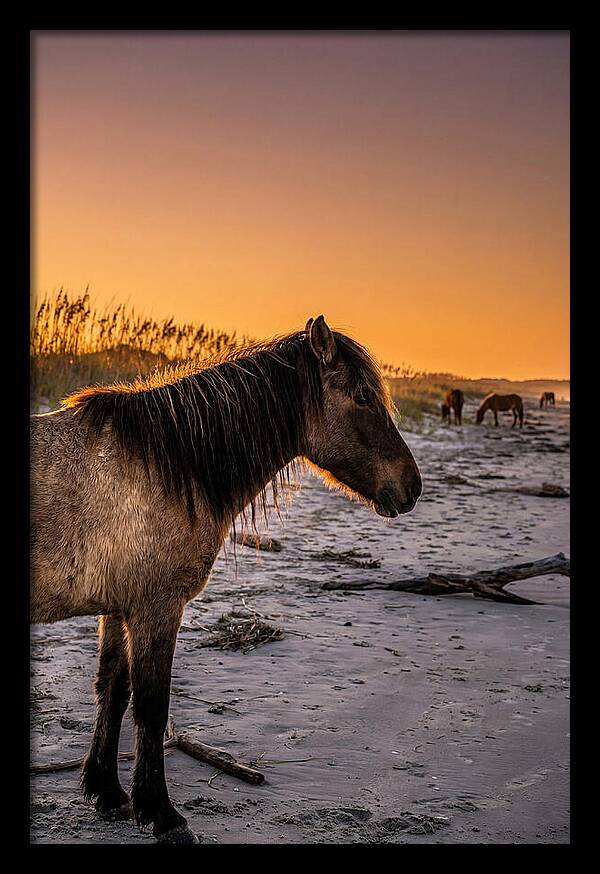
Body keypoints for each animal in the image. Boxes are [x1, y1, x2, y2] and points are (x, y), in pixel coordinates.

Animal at [30, 315, 422, 844]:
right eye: (363, 397)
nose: (412, 487)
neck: (168, 465)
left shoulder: (118, 607)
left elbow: (112, 689)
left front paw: (107, 792)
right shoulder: (157, 608)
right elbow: (152, 705)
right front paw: (162, 814)